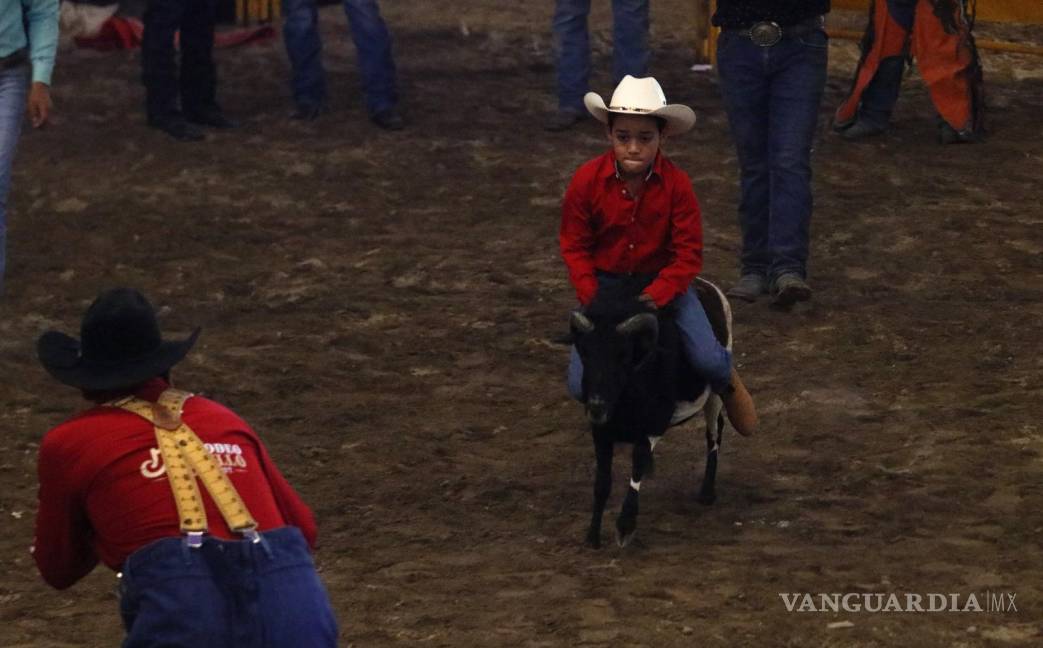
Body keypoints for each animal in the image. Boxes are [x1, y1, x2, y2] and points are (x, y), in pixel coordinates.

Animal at [571, 275, 734, 546]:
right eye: (585, 353)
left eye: (623, 355)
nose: (596, 404)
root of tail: (709, 286)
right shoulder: (601, 431)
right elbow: (602, 482)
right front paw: (592, 536)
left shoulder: (654, 423)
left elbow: (637, 464)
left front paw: (625, 527)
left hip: (715, 391)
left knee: (715, 432)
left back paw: (707, 492)